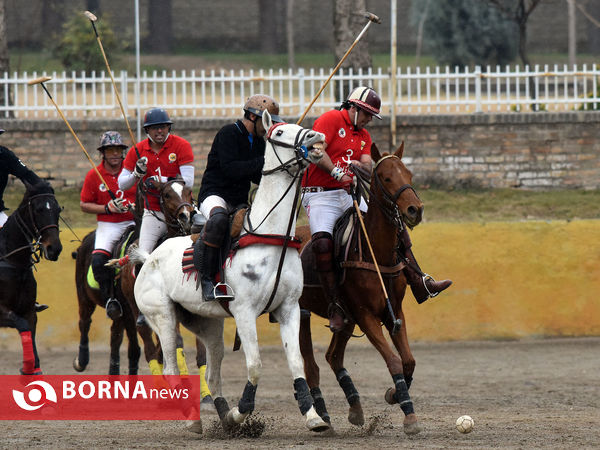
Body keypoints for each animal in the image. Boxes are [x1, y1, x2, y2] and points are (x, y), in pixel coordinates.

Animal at [0, 181, 62, 374]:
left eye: (58, 209)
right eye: (38, 209)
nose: (54, 249)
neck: (14, 262)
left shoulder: (29, 311)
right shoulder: (3, 311)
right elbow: (21, 325)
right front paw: (26, 366)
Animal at [130, 109, 332, 432]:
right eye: (278, 132)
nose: (316, 137)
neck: (270, 235)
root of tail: (149, 258)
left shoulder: (288, 309)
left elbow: (296, 362)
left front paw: (313, 416)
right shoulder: (244, 312)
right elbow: (255, 365)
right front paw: (242, 412)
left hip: (206, 323)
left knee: (212, 372)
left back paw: (222, 415)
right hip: (162, 317)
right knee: (172, 367)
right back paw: (193, 419)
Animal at [298, 142, 424, 436]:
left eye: (409, 174)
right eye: (386, 178)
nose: (415, 210)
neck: (376, 251)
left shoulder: (394, 311)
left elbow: (408, 360)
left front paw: (394, 395)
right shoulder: (366, 314)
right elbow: (394, 360)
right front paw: (408, 413)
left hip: (346, 319)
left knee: (333, 357)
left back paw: (354, 408)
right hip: (301, 311)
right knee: (311, 365)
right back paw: (322, 417)